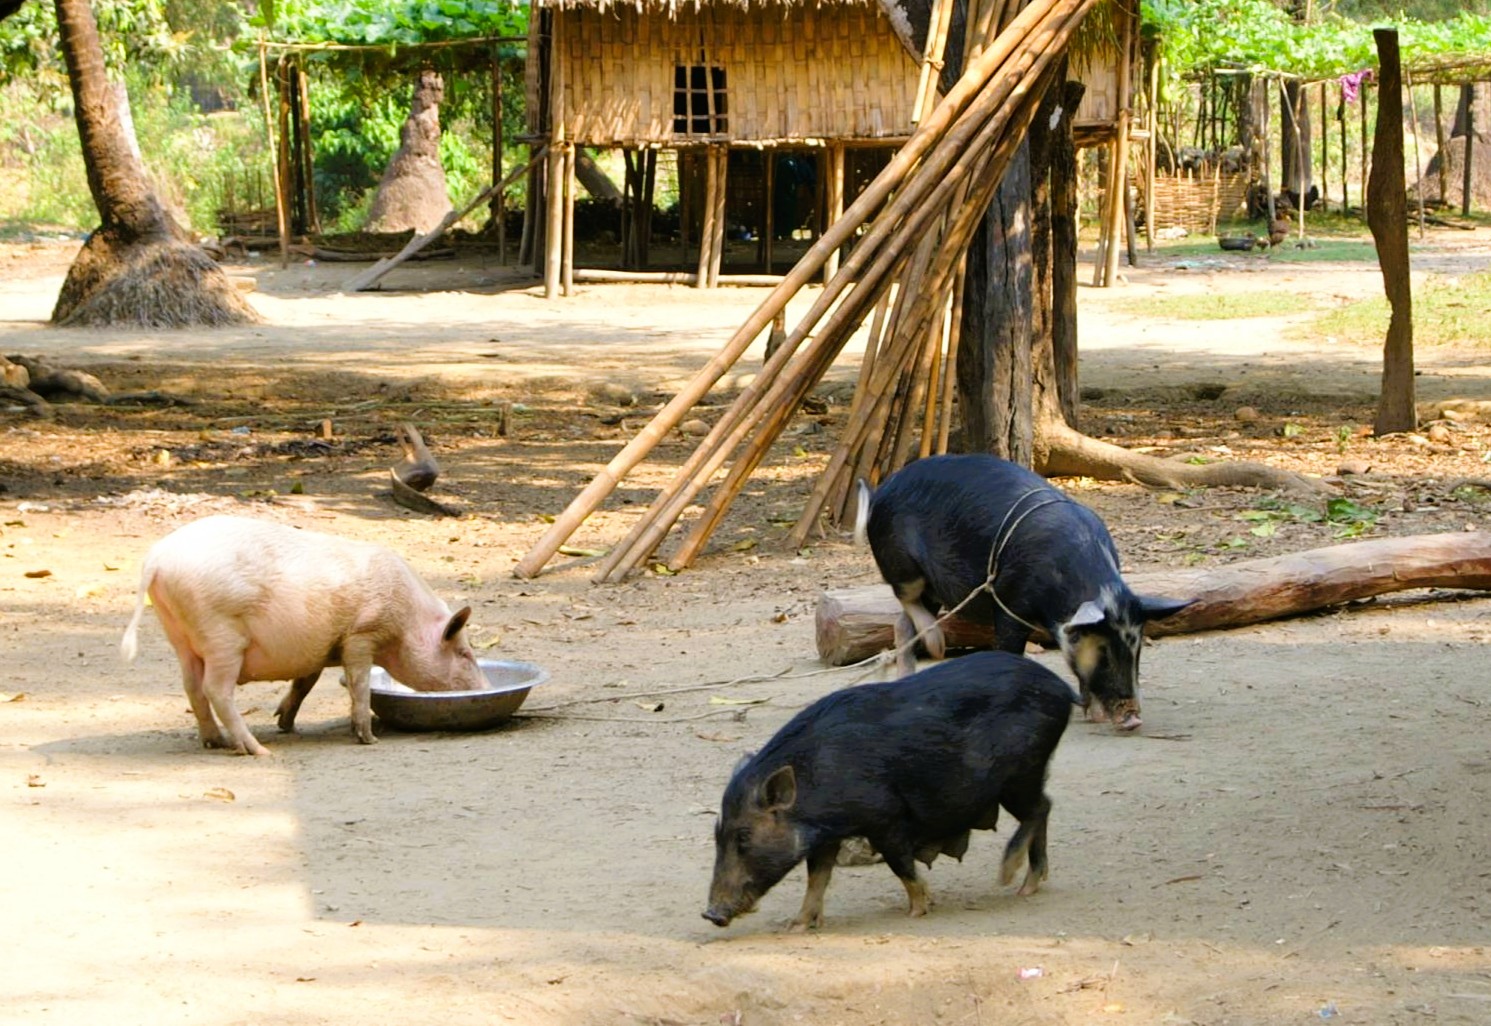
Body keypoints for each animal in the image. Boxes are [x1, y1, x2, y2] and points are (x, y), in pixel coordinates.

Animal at [120, 514, 485, 756]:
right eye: (464, 653)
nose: (484, 689)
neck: (408, 621)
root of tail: (158, 557)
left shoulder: (320, 648)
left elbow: (305, 682)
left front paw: (285, 723)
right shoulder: (362, 633)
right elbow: (359, 682)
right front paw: (368, 739)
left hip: (179, 633)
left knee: (192, 687)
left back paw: (216, 742)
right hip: (221, 634)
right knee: (215, 690)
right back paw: (258, 750)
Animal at [703, 651, 1076, 931]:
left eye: (744, 836)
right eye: (716, 835)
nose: (710, 914)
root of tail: (1063, 688)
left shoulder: (886, 817)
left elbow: (901, 865)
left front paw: (919, 910)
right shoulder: (826, 836)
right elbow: (817, 878)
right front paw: (797, 926)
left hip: (1021, 772)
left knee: (1041, 809)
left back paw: (1007, 878)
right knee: (1043, 807)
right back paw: (1029, 887)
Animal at [857, 454, 1191, 731]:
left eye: (1137, 650)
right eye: (1104, 653)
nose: (1133, 719)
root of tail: (880, 491)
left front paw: (1093, 716)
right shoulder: (1010, 603)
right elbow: (1008, 648)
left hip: (932, 587)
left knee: (902, 624)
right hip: (900, 562)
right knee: (907, 601)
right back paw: (937, 645)